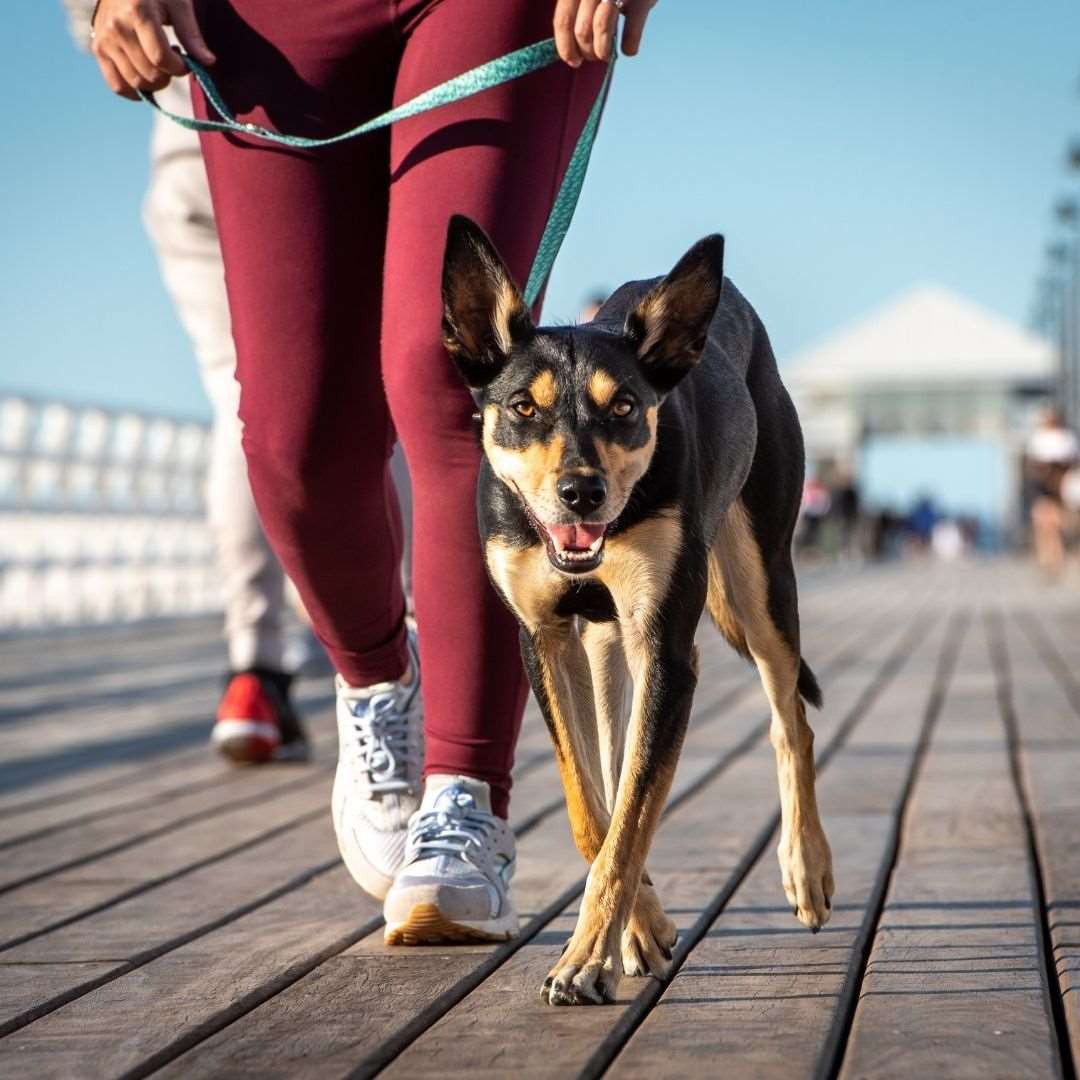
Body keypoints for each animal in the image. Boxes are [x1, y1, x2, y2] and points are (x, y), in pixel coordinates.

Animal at [438, 214, 833, 1006]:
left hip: (761, 586)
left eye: (623, 406)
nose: (580, 492)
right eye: (523, 407)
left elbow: (629, 816)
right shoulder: (544, 640)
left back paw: (806, 869)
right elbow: (596, 810)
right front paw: (636, 929)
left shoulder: (668, 652)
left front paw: (587, 956)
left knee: (791, 722)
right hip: (605, 646)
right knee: (618, 763)